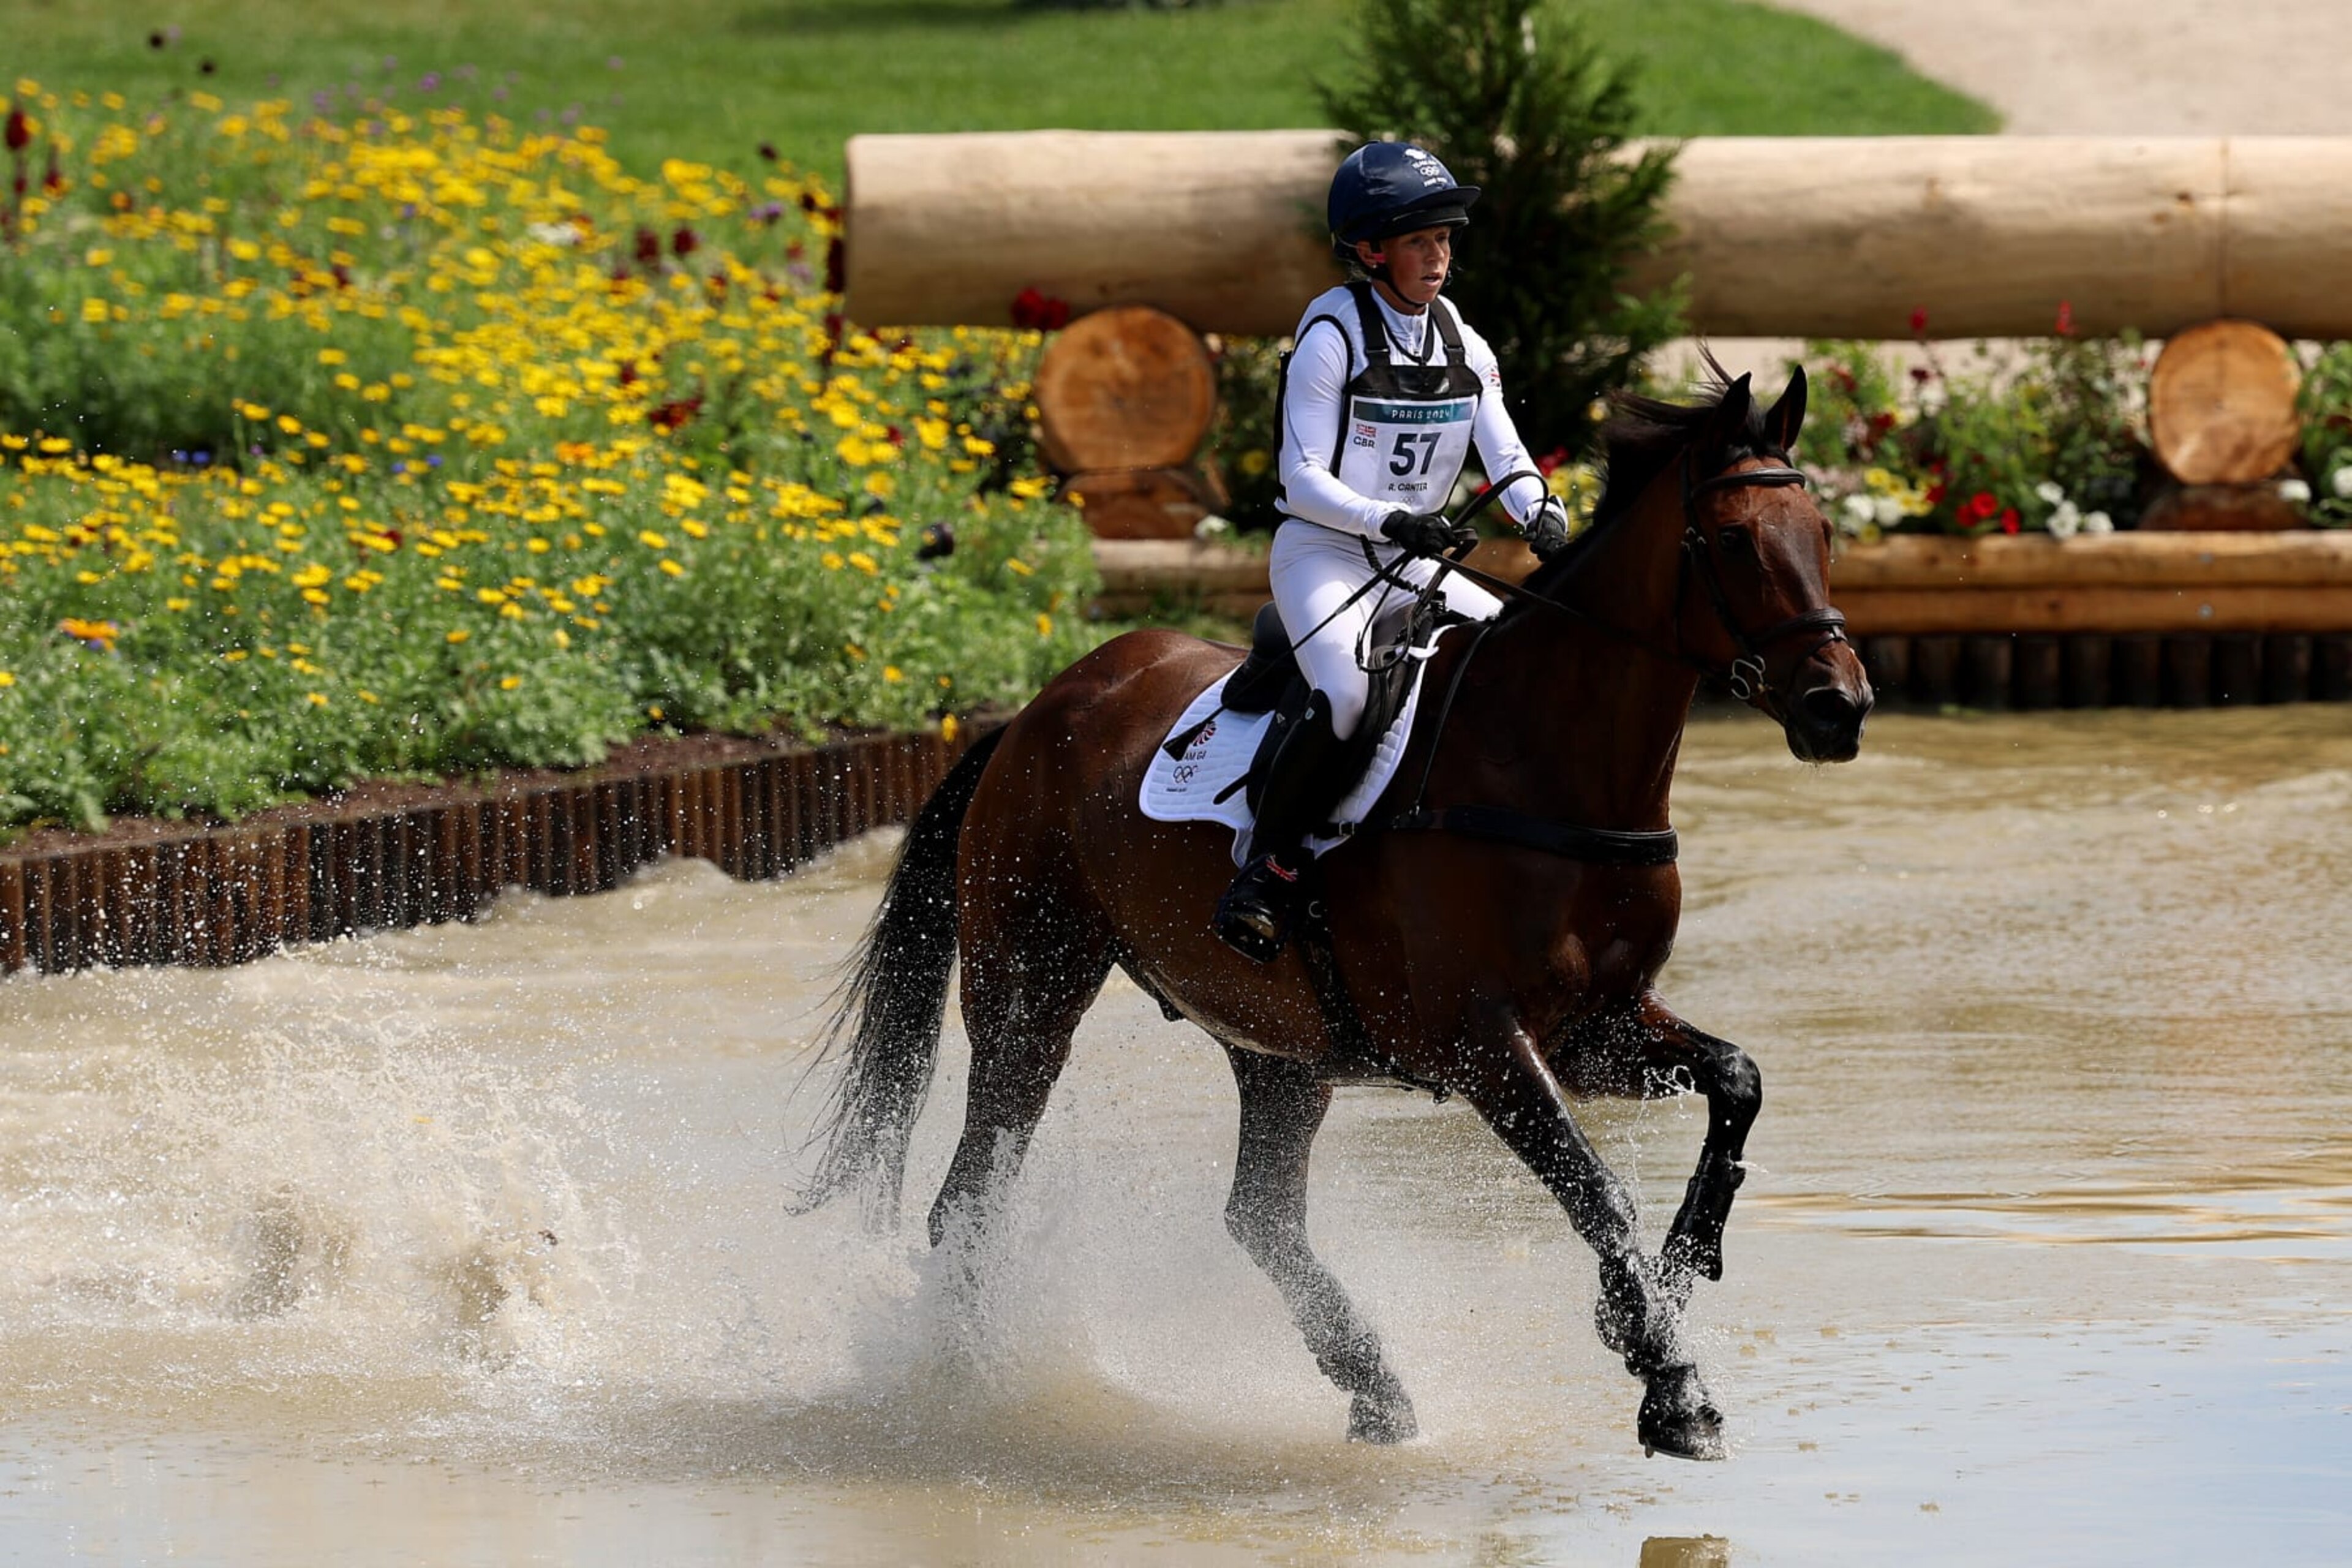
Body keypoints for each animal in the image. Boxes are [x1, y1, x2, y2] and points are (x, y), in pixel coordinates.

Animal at [794, 366, 1872, 1461]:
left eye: (1824, 531)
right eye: (1732, 541)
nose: (1839, 709)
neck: (1551, 766)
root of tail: (1035, 714)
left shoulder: (1595, 1027)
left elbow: (1736, 1081)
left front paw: (1676, 1276)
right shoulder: (1485, 1044)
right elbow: (1594, 1186)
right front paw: (1671, 1383)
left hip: (1278, 1047)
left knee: (1259, 1218)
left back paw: (1375, 1388)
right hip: (1034, 989)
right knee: (973, 1191)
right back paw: (968, 1381)